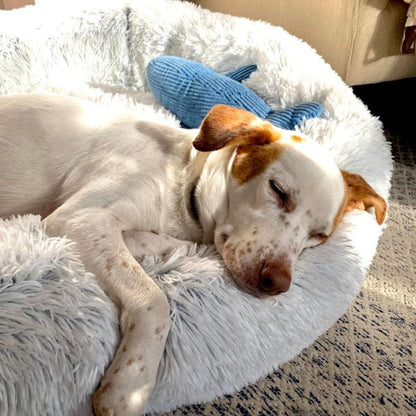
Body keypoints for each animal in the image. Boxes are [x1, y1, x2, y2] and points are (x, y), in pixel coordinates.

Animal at [0, 95, 386, 416]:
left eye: (320, 236)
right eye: (277, 190)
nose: (277, 282)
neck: (182, 179)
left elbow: (162, 246)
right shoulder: (81, 218)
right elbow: (154, 301)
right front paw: (129, 386)